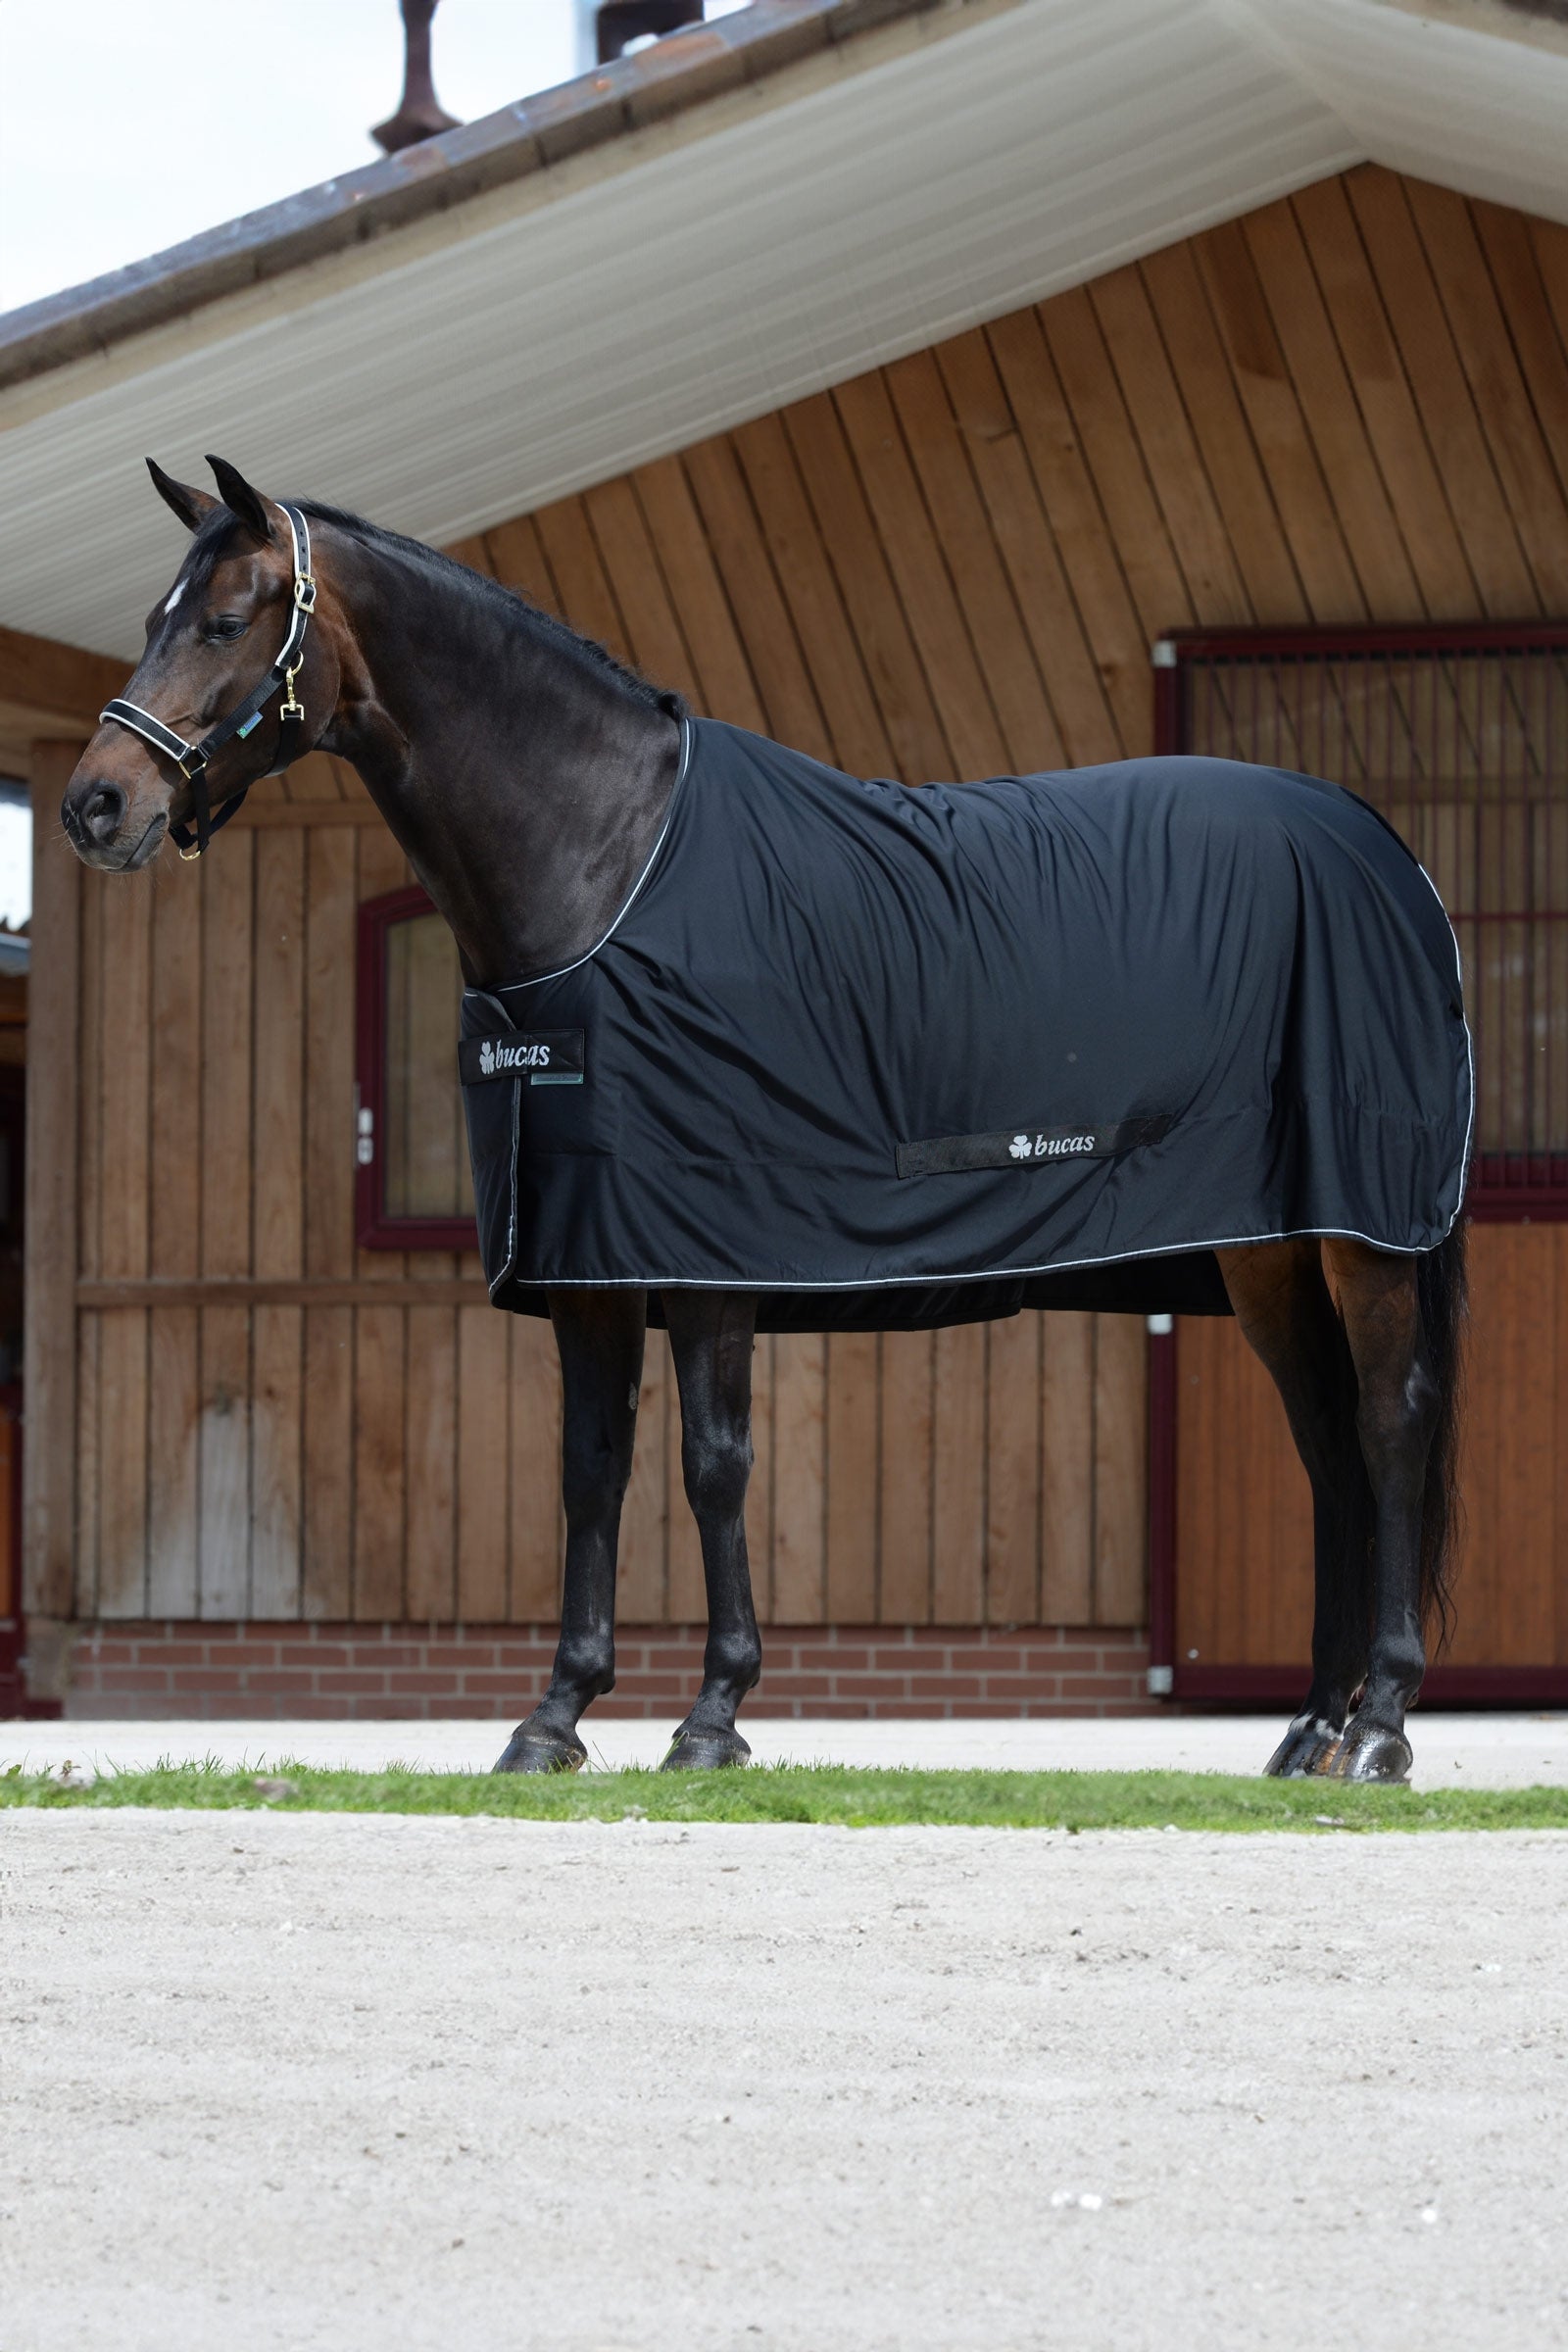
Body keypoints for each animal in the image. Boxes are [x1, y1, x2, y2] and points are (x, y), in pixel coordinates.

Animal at [61, 456, 1469, 1783]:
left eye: (228, 619)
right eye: (155, 616)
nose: (94, 806)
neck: (607, 861)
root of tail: (1386, 853)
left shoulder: (708, 1249)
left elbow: (713, 1462)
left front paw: (714, 1715)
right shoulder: (589, 1252)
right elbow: (592, 1469)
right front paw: (555, 1717)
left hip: (1363, 1240)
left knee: (1390, 1427)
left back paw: (1381, 1729)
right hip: (1265, 1255)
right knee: (1329, 1451)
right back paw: (1310, 1730)